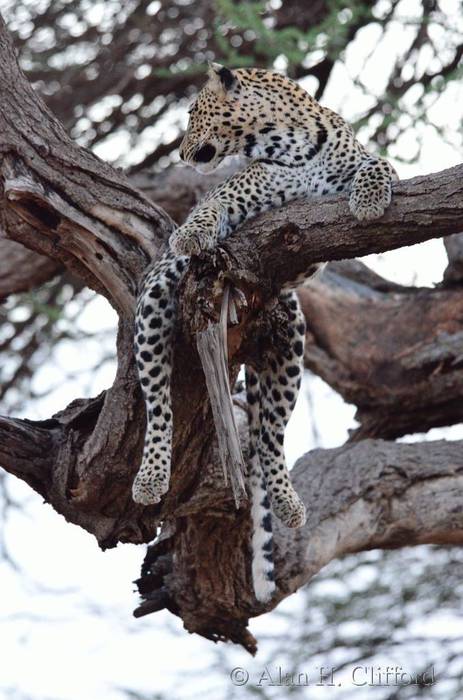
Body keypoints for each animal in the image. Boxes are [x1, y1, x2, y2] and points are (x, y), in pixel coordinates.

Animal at [132, 63, 397, 604]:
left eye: (193, 114)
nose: (181, 154)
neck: (288, 141)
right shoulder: (250, 188)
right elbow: (215, 203)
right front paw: (190, 233)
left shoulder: (352, 167)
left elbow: (378, 162)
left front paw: (369, 199)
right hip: (152, 310)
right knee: (159, 404)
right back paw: (151, 477)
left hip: (291, 339)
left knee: (270, 436)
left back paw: (289, 503)